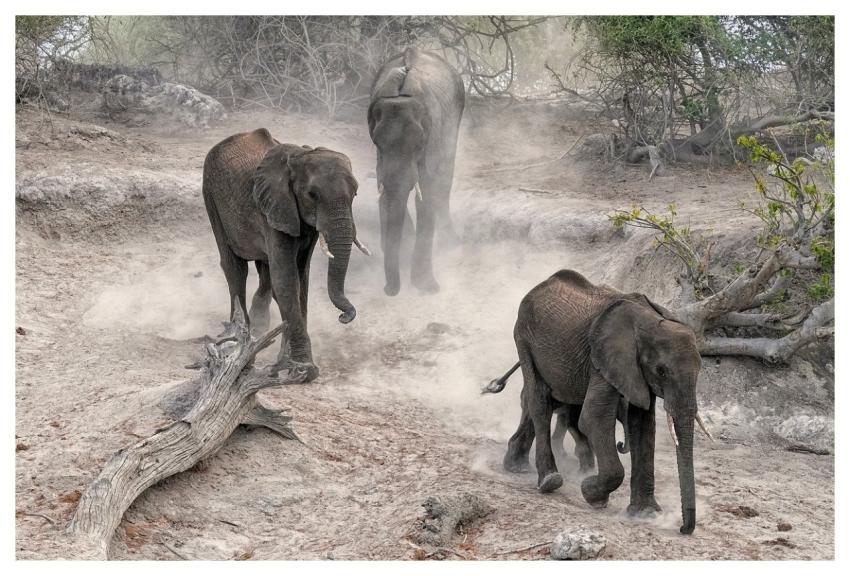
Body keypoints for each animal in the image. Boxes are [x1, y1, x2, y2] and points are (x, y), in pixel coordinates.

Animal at [202, 128, 369, 382]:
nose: (344, 317)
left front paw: (289, 363)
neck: (302, 155)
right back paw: (238, 337)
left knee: (265, 269)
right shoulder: (274, 206)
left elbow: (300, 279)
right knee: (235, 268)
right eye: (312, 195)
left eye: (355, 194)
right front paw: (305, 370)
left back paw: (258, 330)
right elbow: (287, 281)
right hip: (210, 194)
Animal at [367, 47, 465, 296]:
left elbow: (427, 192)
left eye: (418, 145)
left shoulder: (433, 140)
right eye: (377, 142)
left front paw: (427, 287)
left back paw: (451, 242)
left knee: (445, 178)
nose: (388, 290)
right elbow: (385, 187)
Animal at [483, 269, 712, 535]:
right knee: (539, 401)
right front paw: (592, 495)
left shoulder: (633, 370)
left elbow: (644, 425)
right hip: (523, 337)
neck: (650, 320)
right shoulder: (602, 358)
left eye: (700, 369)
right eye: (662, 371)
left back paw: (516, 465)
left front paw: (645, 514)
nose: (683, 529)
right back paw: (548, 480)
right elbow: (593, 417)